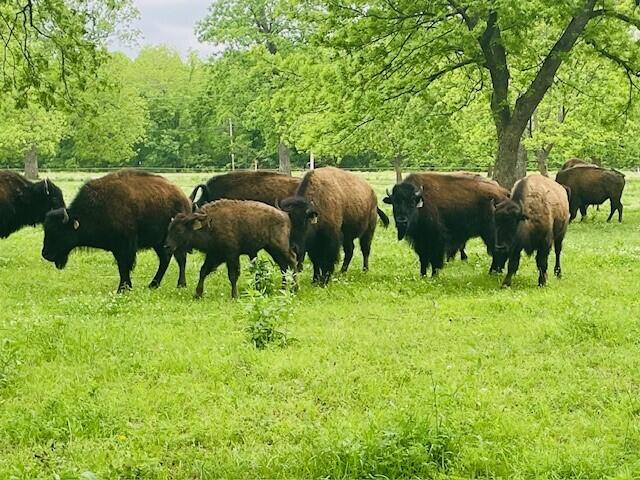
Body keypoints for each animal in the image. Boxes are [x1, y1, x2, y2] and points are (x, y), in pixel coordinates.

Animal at [42, 170, 191, 292]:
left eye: (58, 232)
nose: (45, 254)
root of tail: (184, 199)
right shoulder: (117, 248)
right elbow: (122, 267)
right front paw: (126, 287)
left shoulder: (124, 246)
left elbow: (124, 266)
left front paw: (122, 289)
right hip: (159, 243)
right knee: (166, 259)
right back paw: (153, 285)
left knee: (180, 259)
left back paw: (180, 284)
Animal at [165, 199, 298, 298]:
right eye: (169, 228)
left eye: (179, 230)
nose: (167, 246)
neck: (209, 224)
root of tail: (284, 214)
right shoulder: (213, 255)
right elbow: (203, 271)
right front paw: (197, 294)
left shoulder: (231, 255)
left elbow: (232, 275)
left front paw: (234, 296)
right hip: (272, 249)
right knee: (283, 266)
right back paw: (283, 288)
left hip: (279, 246)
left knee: (292, 260)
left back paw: (294, 289)